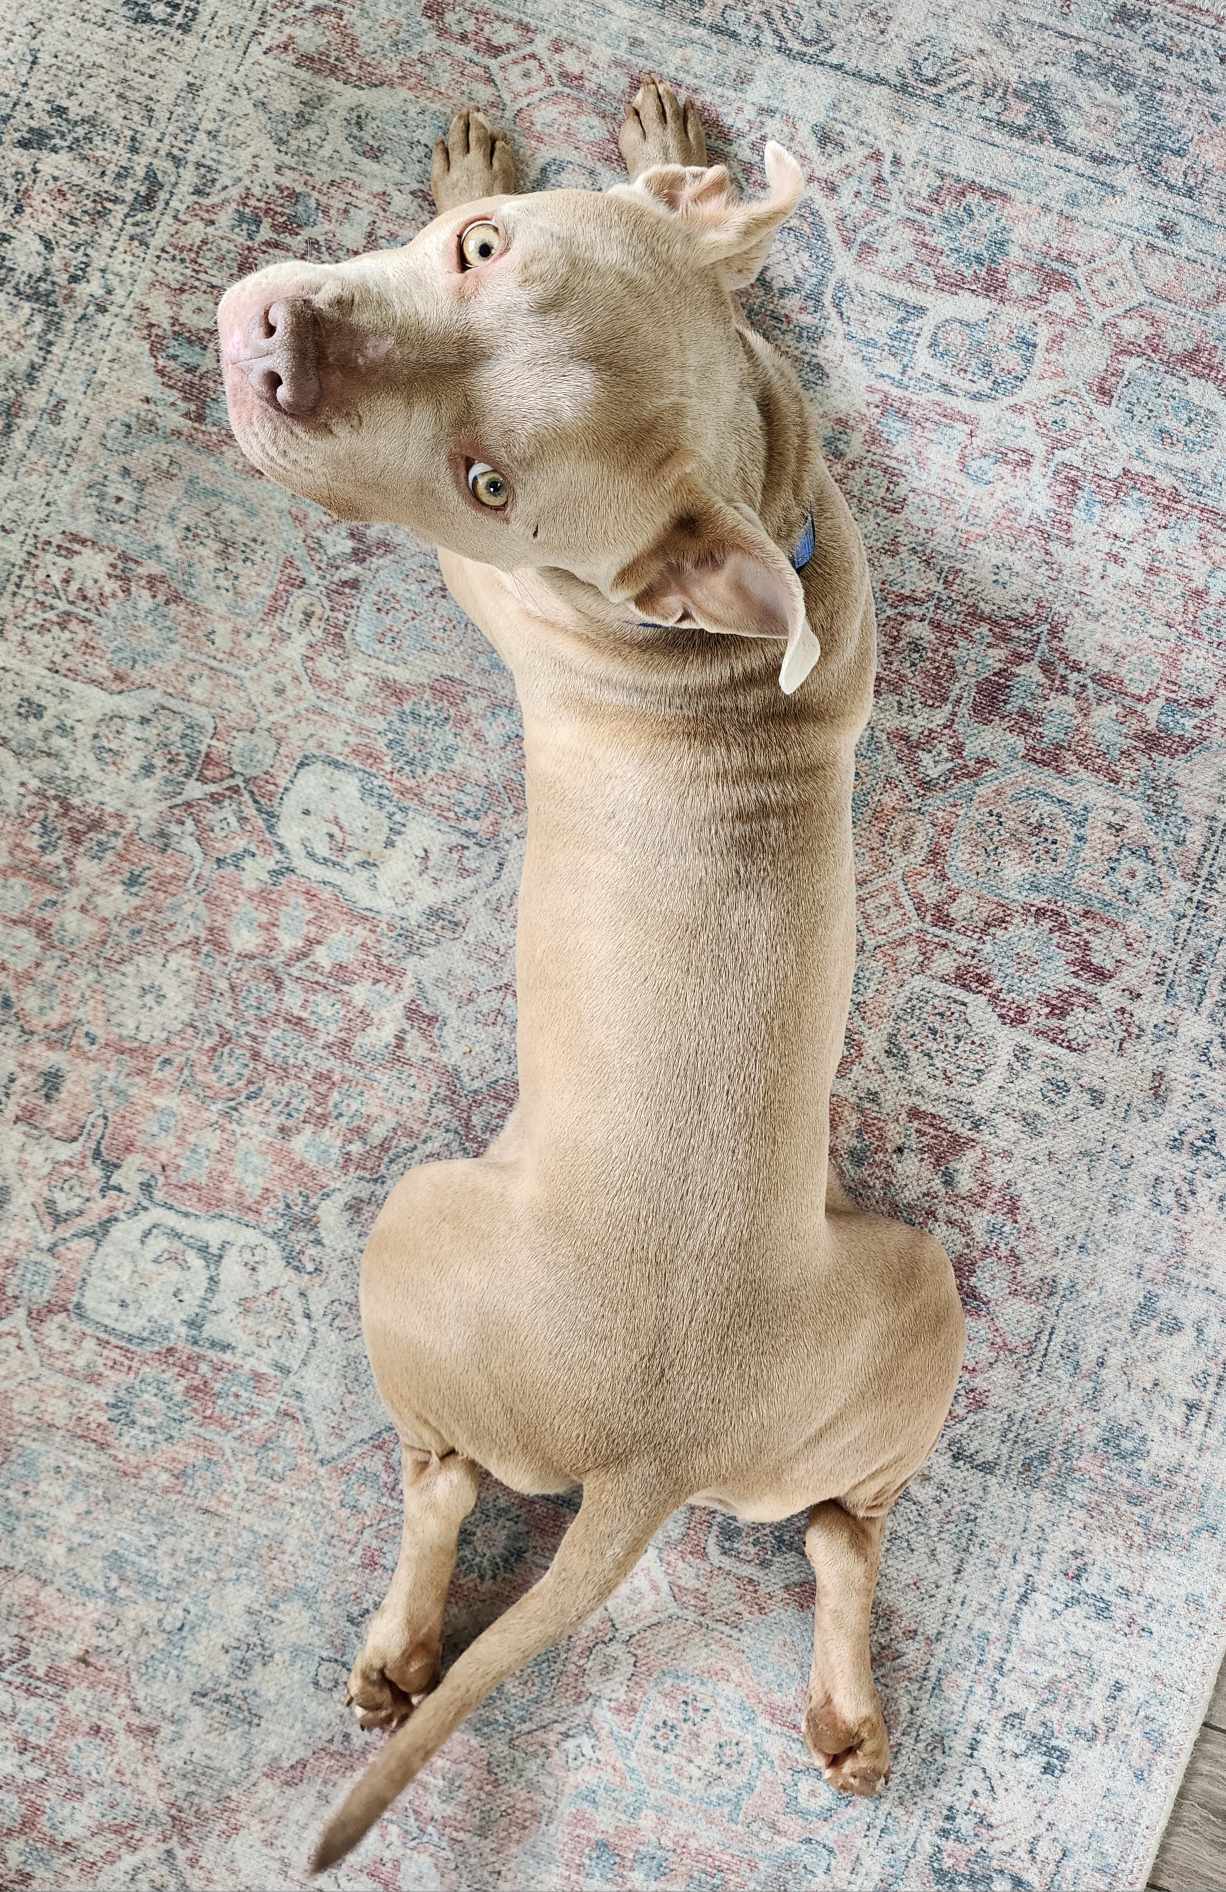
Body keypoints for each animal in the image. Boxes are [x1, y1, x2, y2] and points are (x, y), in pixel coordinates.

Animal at [220, 77, 968, 1876]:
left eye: (487, 484)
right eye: (481, 256)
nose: (282, 347)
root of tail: (652, 1454)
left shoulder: (479, 578)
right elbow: (736, 254)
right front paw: (680, 171)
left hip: (417, 1223)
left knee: (441, 1478)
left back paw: (399, 1648)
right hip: (918, 1302)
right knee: (842, 1532)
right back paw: (846, 1715)